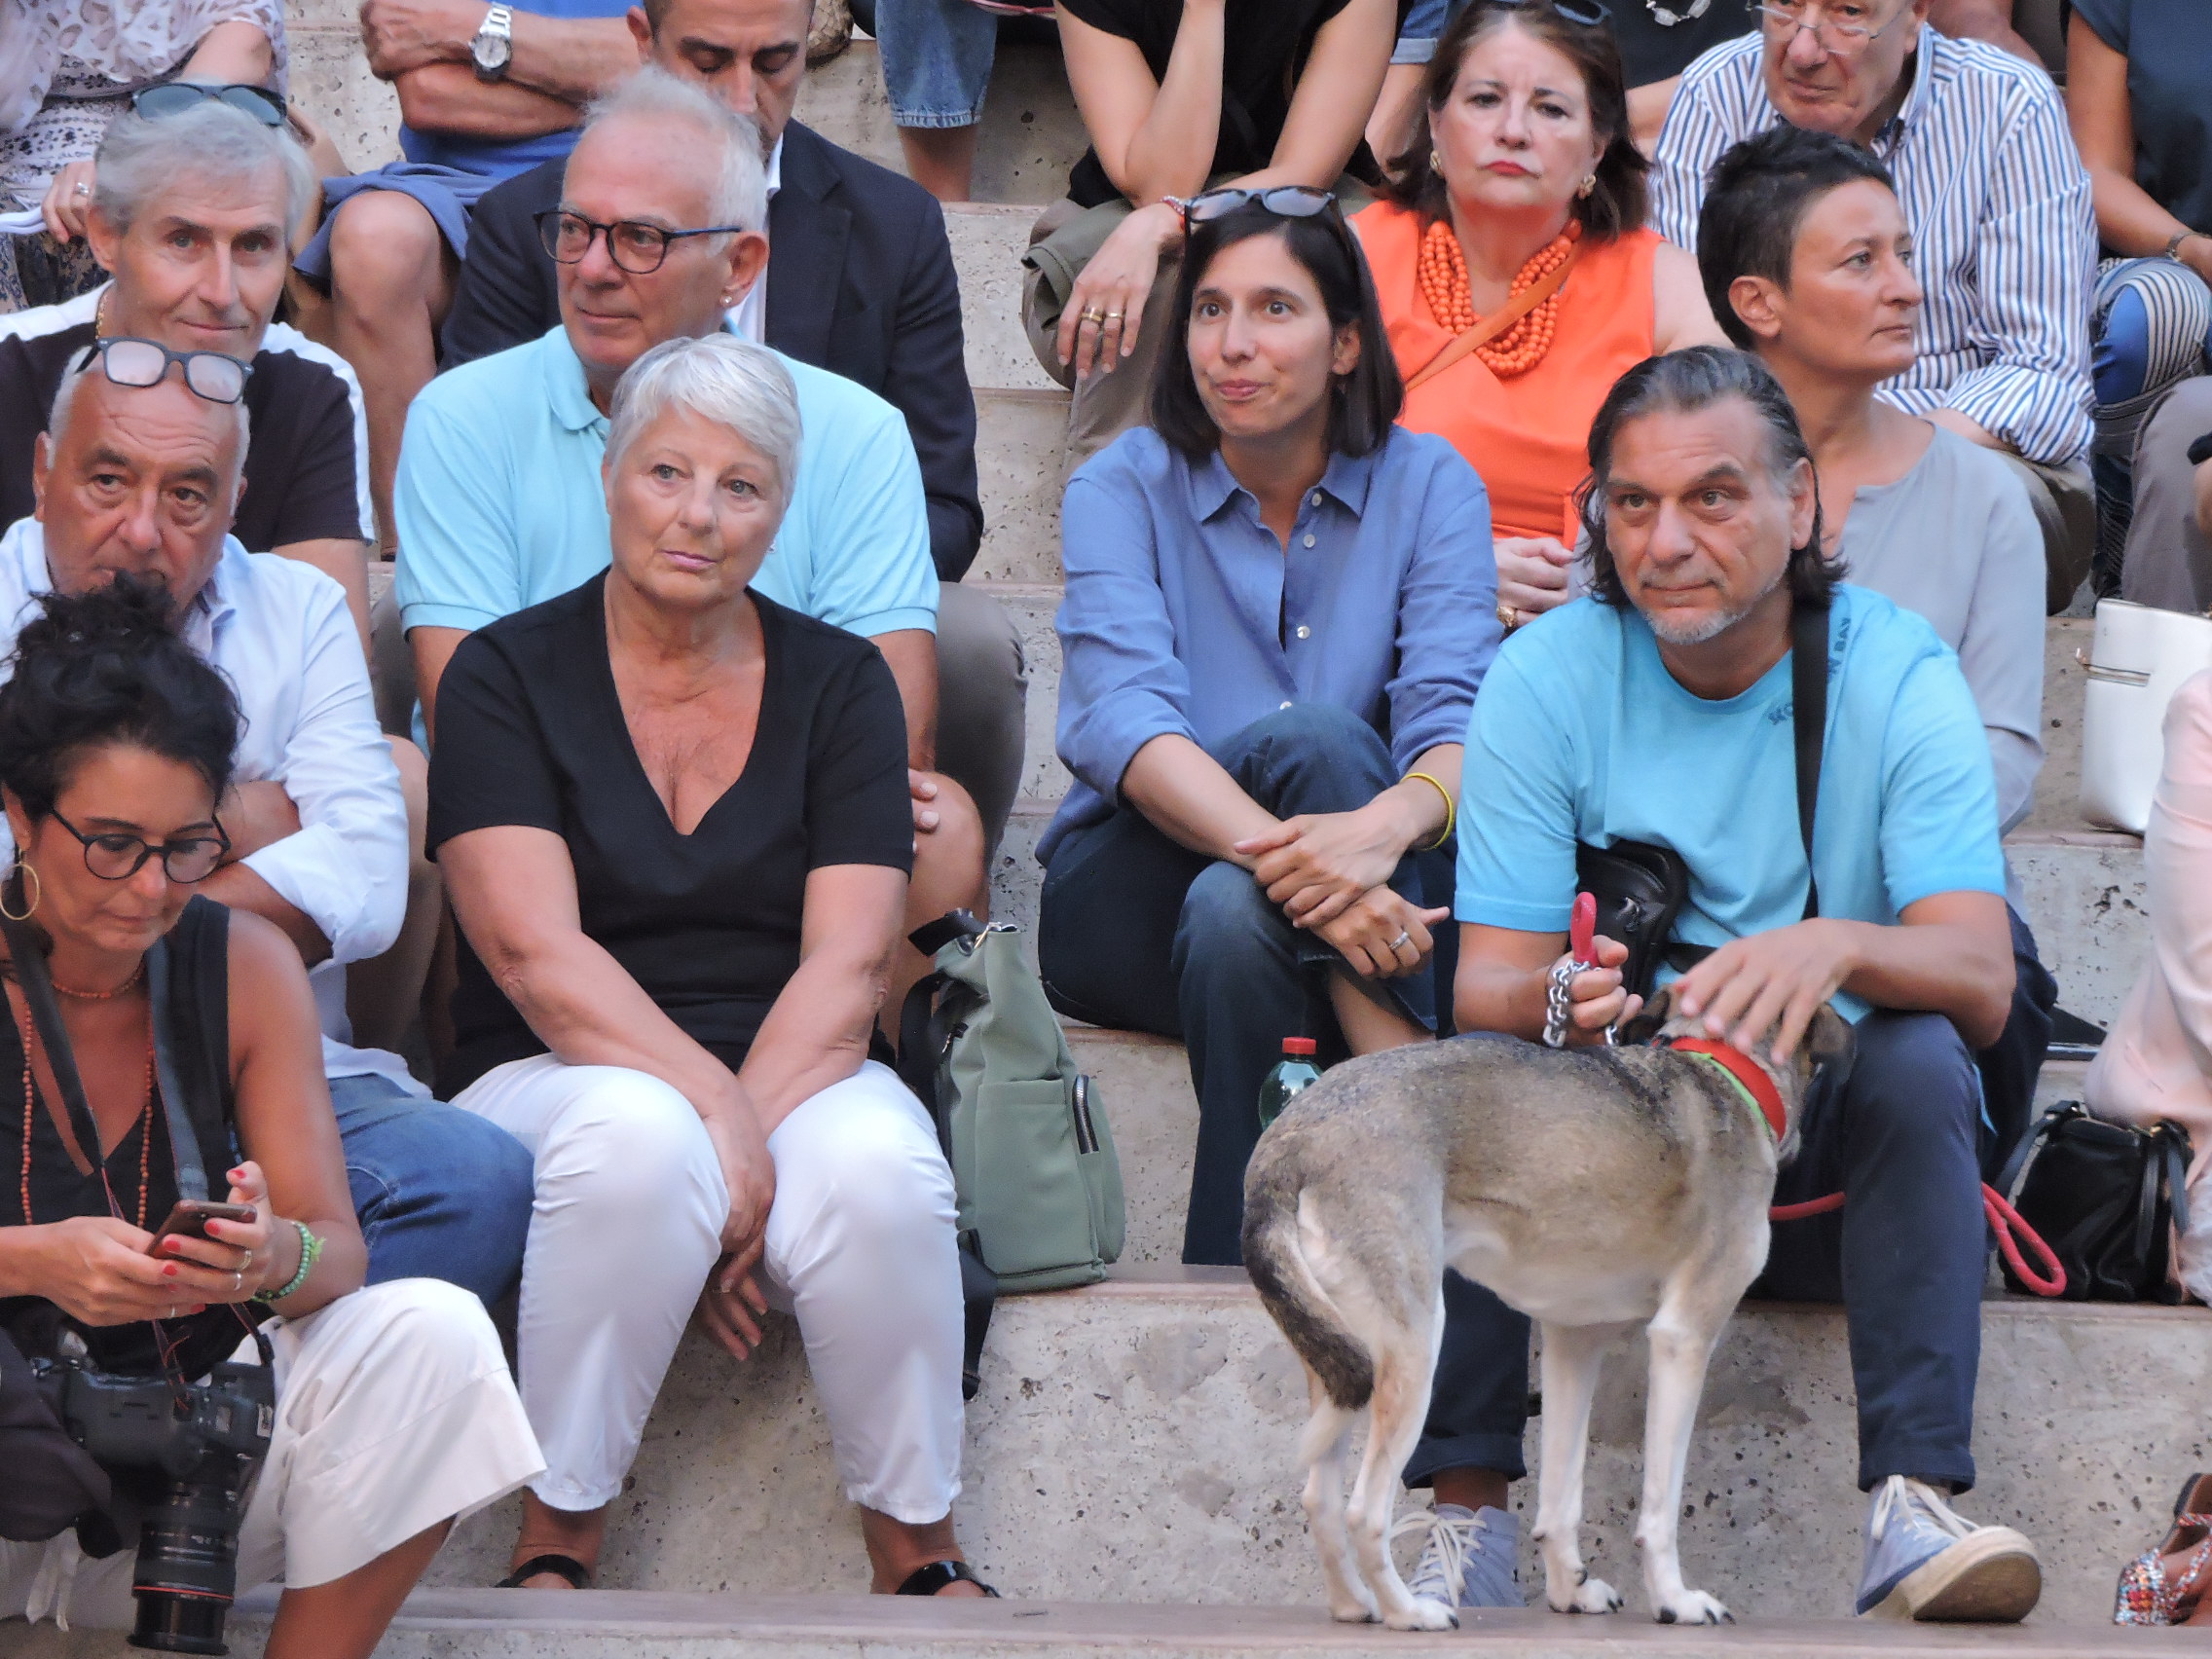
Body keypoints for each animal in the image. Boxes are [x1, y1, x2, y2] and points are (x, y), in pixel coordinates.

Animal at [1247, 995, 1849, 1628]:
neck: (1726, 1070)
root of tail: (1288, 1141)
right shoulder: (1684, 1337)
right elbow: (1660, 1506)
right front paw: (1675, 1600)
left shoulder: (1573, 1343)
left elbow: (1561, 1497)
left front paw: (1571, 1593)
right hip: (1413, 1351)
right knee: (1363, 1511)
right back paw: (1410, 1613)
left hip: (1337, 1362)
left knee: (1319, 1497)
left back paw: (1353, 1605)